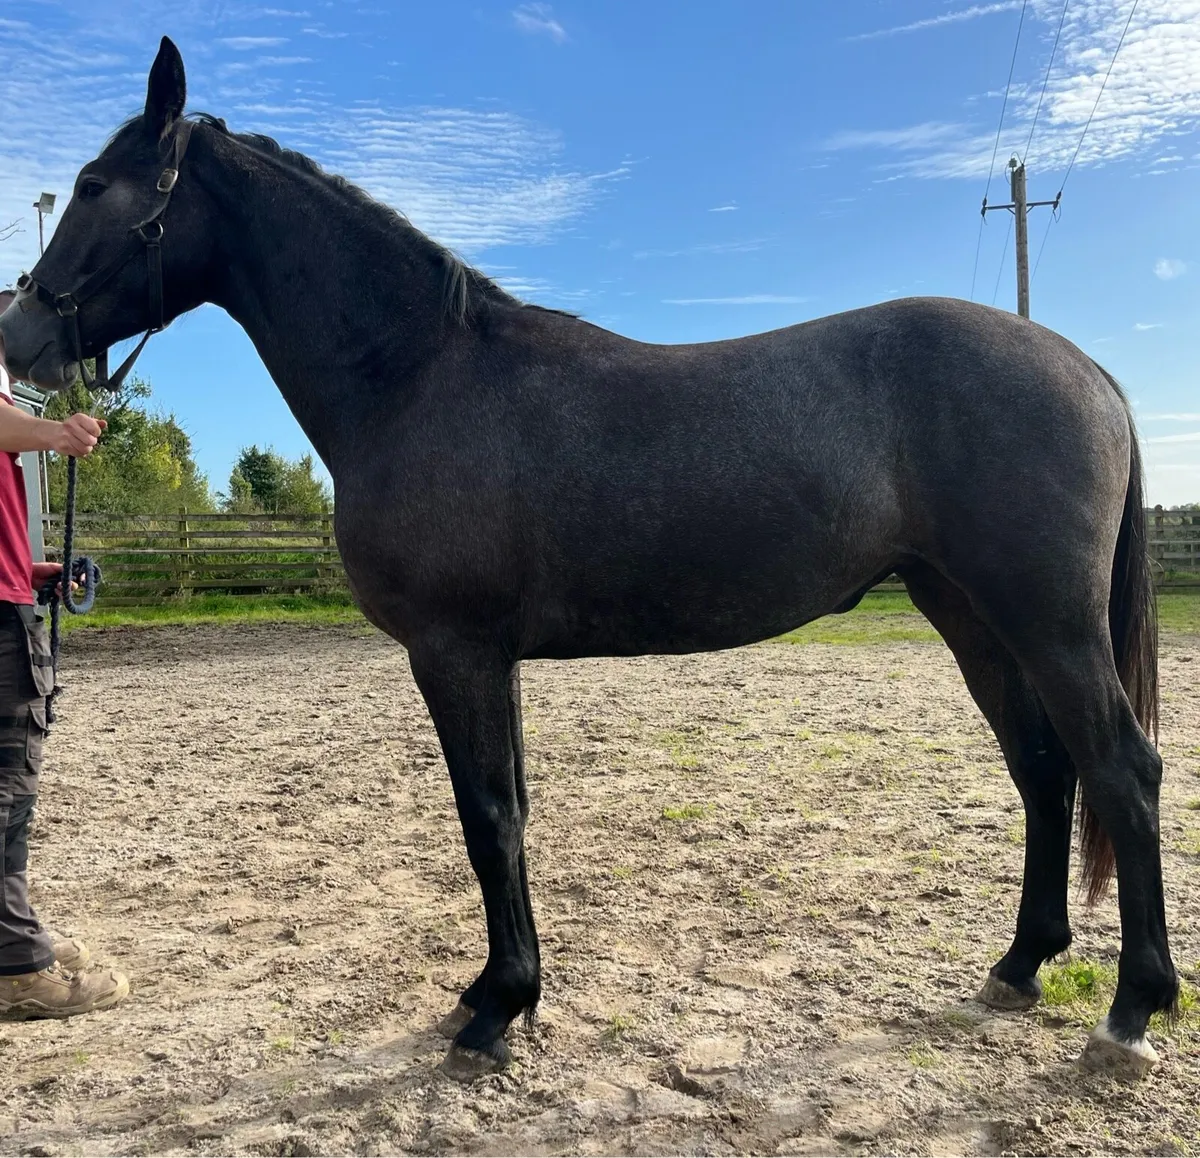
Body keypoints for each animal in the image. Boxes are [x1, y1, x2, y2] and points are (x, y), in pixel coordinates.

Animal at [0, 38, 1177, 1081]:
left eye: (96, 186)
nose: (19, 337)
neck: (418, 377)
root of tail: (1083, 367)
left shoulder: (456, 651)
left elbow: (488, 820)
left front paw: (497, 1011)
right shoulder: (493, 659)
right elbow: (511, 814)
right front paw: (498, 994)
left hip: (1047, 623)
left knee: (1122, 771)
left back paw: (1130, 1014)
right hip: (970, 614)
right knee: (1043, 771)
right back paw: (1020, 967)